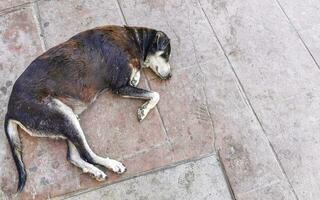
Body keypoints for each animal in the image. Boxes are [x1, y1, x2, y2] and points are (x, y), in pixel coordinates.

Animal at [3, 25, 172, 192]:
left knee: (73, 156)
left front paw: (136, 78)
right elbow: (155, 94)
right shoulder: (119, 87)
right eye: (165, 55)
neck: (134, 39)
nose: (170, 76)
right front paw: (144, 109)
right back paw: (113, 165)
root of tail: (10, 111)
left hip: (68, 119)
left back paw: (95, 172)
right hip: (63, 117)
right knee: (87, 155)